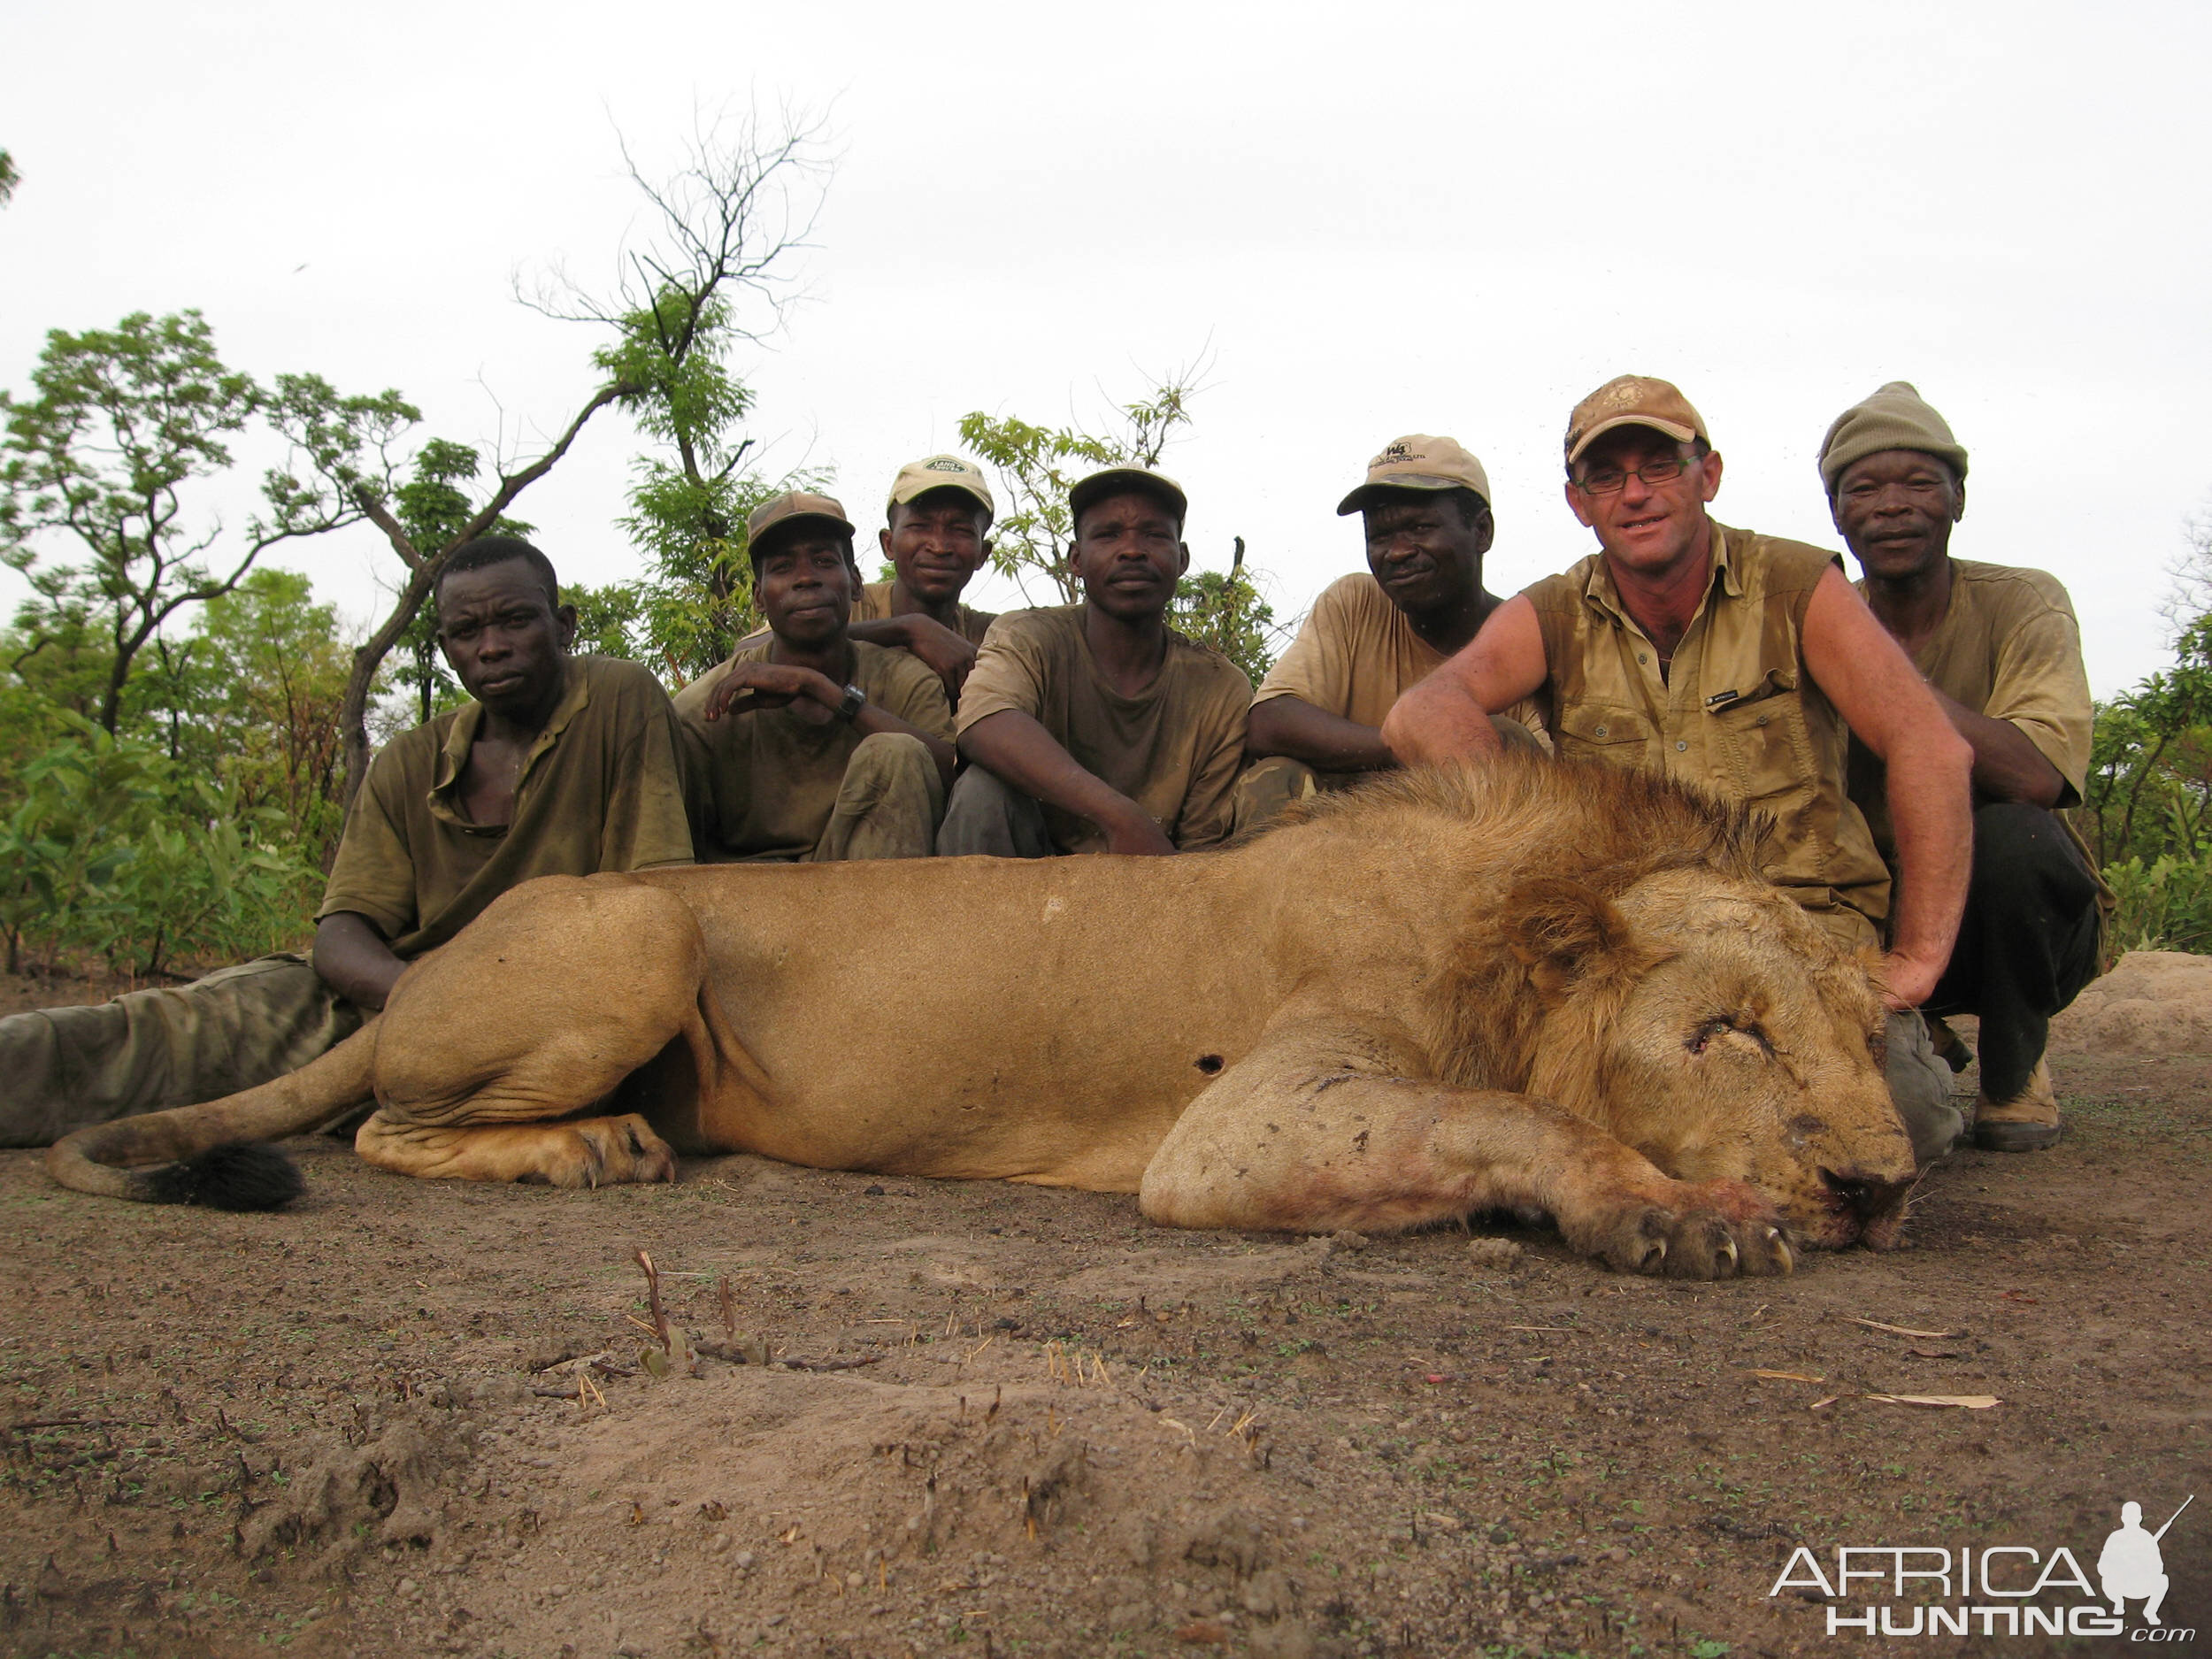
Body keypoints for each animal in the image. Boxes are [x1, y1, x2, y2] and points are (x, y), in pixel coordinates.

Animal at [47, 761, 1920, 1283]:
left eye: (1856, 1022)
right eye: (1728, 1031)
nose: (1887, 1187)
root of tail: (427, 969)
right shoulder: (1229, 1132)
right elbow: (1517, 1120)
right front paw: (1689, 1215)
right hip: (634, 925)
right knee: (381, 1124)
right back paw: (592, 1148)